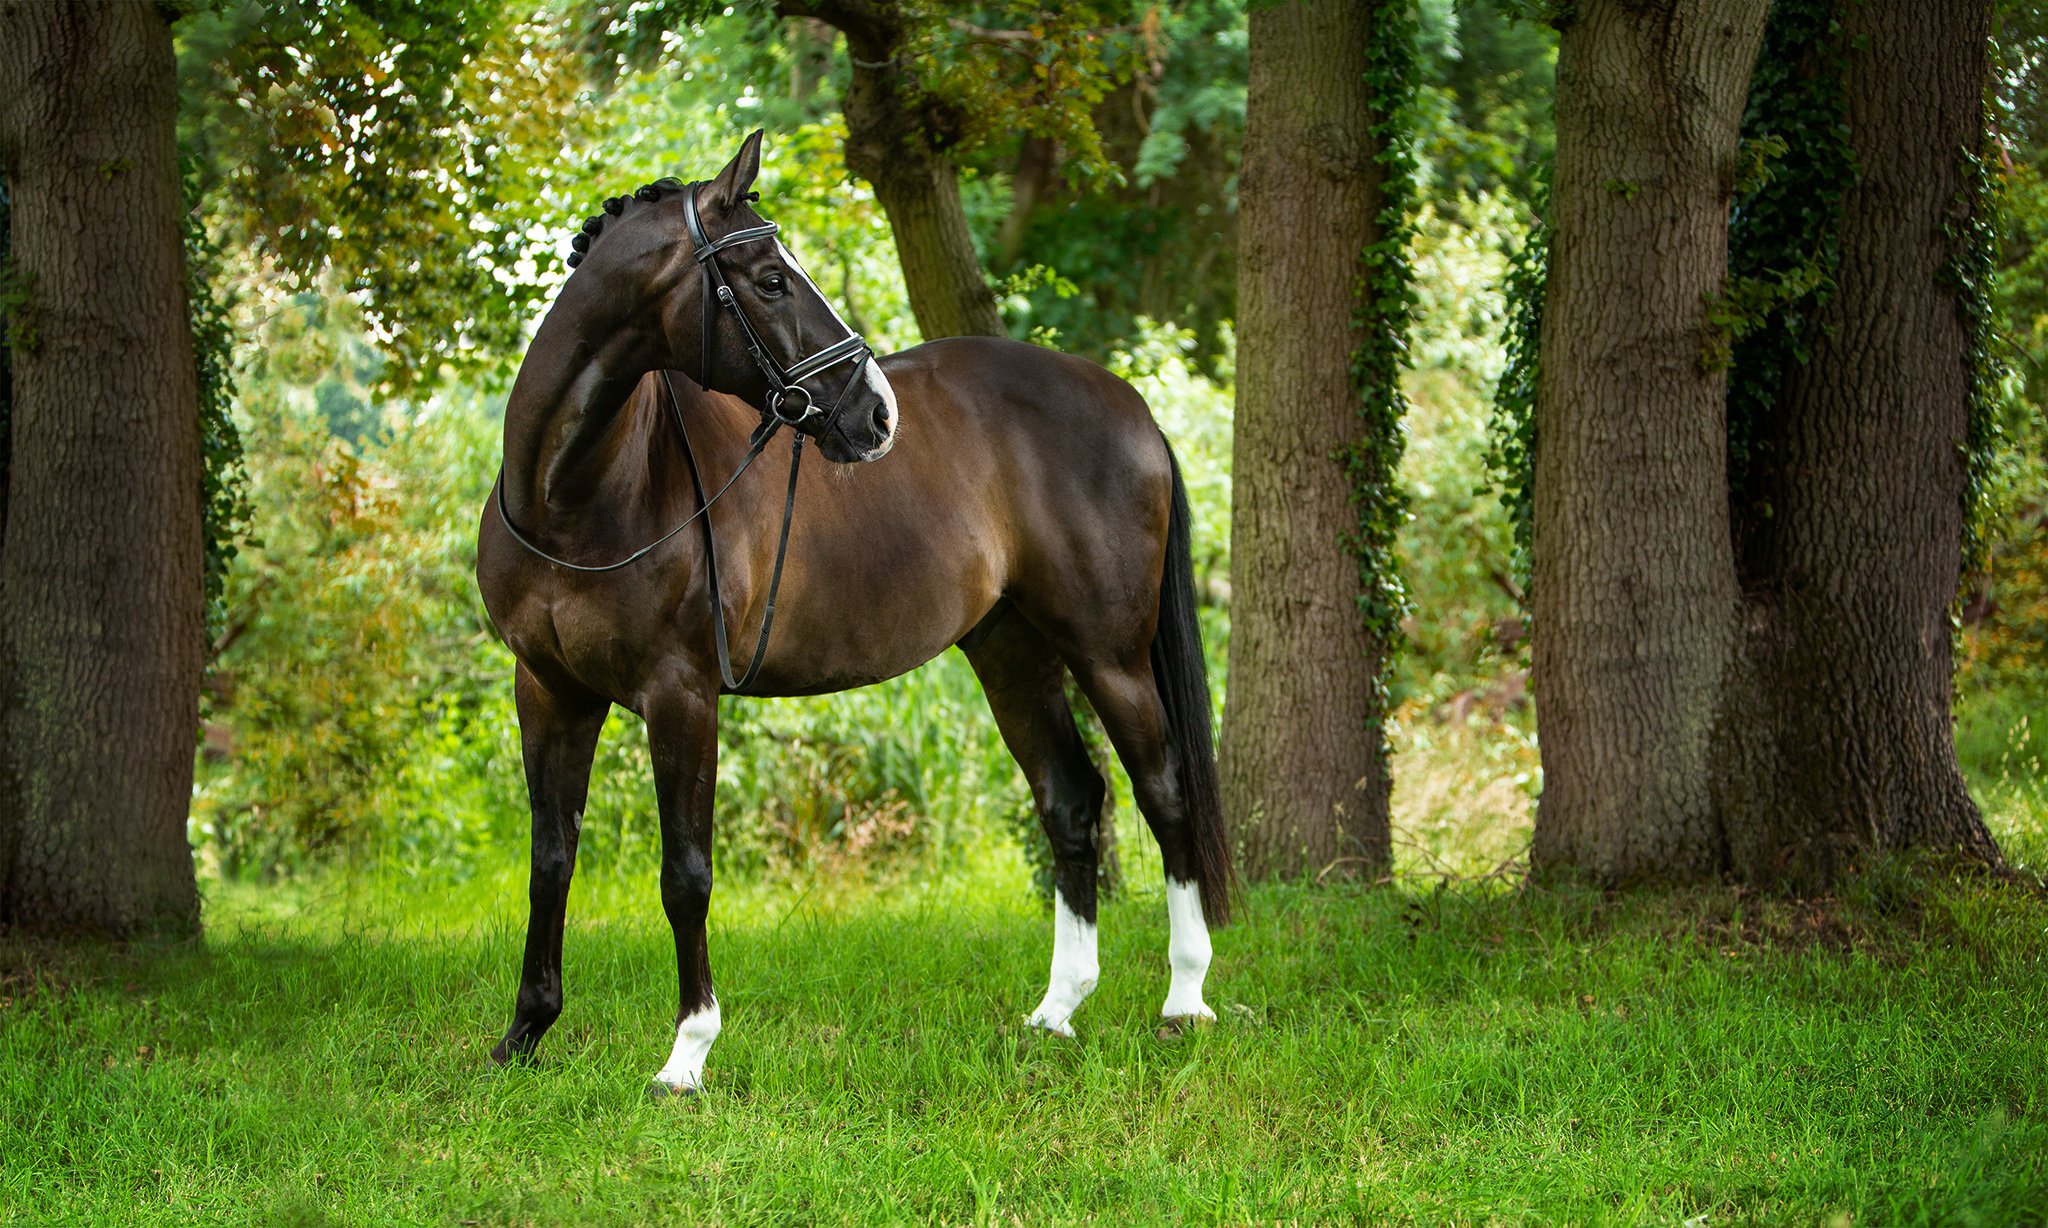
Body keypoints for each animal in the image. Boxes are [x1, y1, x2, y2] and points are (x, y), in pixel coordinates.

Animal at [475, 132, 1228, 1097]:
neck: (580, 493)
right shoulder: (548, 690)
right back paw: (1057, 1010)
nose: (876, 414)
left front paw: (687, 1054)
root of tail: (1128, 402)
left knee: (1164, 792)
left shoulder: (680, 696)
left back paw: (1185, 999)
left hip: (1110, 655)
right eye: (768, 280)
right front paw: (526, 1033)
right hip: (1012, 653)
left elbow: (685, 874)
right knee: (1070, 799)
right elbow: (550, 860)